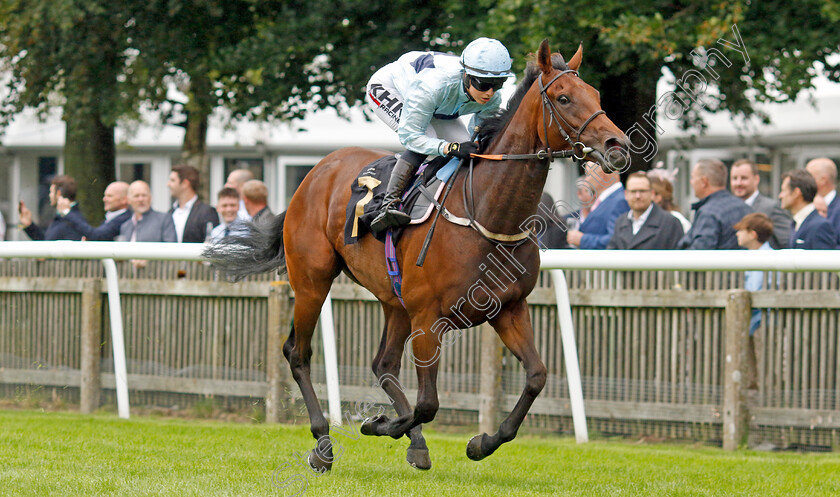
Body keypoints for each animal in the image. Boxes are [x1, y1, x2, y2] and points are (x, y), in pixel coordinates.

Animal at [207, 40, 628, 470]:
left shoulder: (509, 308)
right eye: (564, 98)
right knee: (298, 352)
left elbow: (537, 377)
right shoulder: (429, 319)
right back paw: (323, 442)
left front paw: (481, 443)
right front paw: (377, 424)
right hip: (312, 280)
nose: (618, 145)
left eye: (596, 95)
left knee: (383, 364)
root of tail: (314, 172)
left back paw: (414, 442)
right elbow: (428, 403)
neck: (486, 210)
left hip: (394, 298)